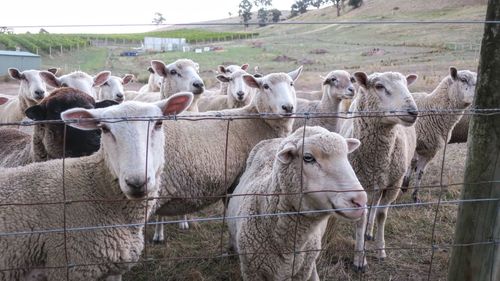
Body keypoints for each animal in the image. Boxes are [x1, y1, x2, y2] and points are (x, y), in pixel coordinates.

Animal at [228, 126, 368, 278]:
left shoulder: (303, 269)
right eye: (308, 158)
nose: (361, 201)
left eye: (346, 156)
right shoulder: (252, 271)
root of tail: (275, 139)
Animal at [342, 70, 420, 270]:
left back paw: (370, 232)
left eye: (406, 85)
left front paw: (380, 249)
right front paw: (359, 259)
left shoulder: (394, 183)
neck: (377, 157)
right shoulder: (360, 183)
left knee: (375, 205)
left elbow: (382, 215)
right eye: (379, 86)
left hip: (381, 182)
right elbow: (361, 219)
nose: (413, 112)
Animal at [400, 66, 478, 201]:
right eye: (463, 79)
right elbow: (412, 162)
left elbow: (420, 173)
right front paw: (404, 185)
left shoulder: (431, 150)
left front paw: (415, 196)